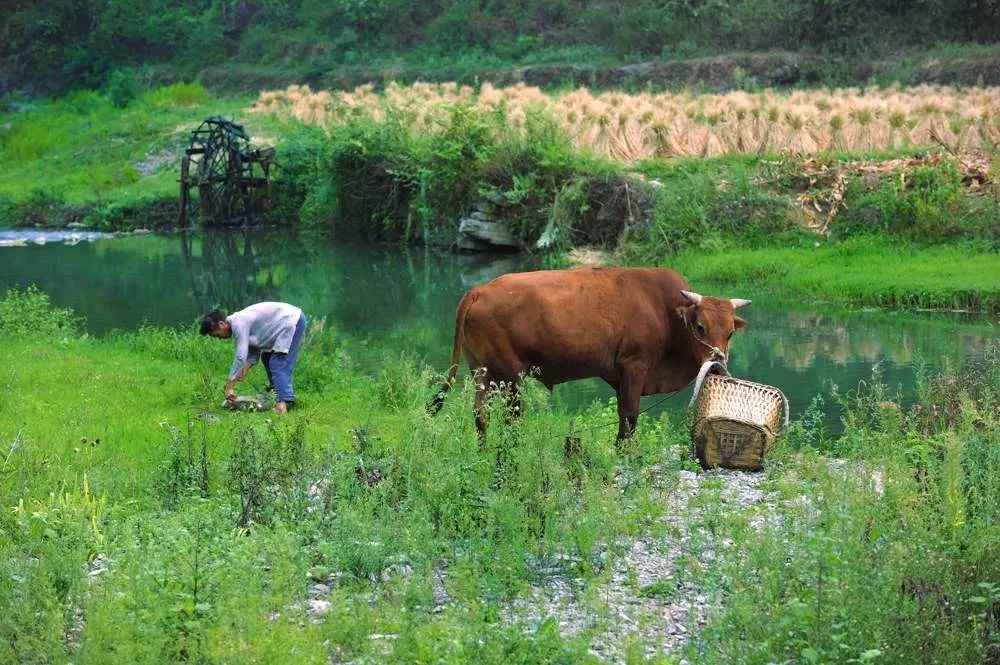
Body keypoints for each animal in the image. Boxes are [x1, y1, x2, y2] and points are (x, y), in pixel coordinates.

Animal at [430, 264, 752, 440]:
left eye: (730, 332)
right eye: (699, 326)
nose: (718, 365)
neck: (664, 309)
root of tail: (480, 290)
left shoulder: (621, 376)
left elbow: (624, 416)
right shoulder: (634, 367)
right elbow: (630, 416)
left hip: (482, 372)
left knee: (480, 413)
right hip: (510, 376)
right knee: (511, 417)